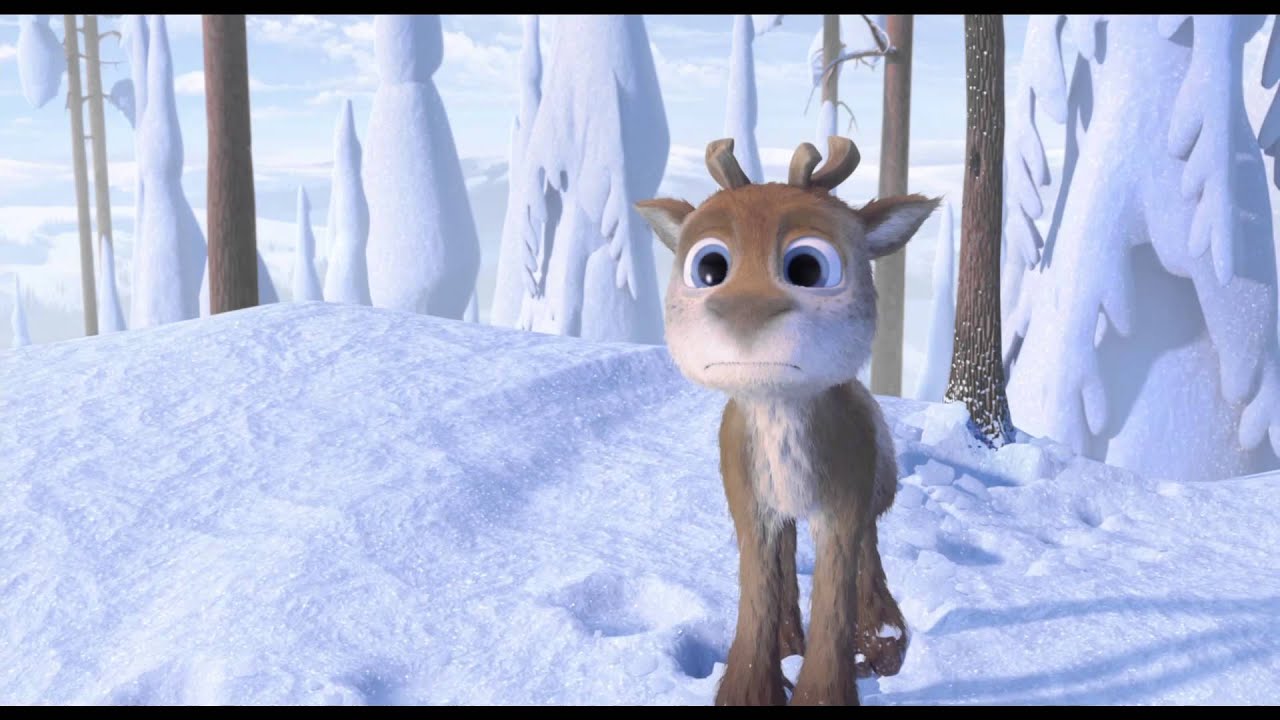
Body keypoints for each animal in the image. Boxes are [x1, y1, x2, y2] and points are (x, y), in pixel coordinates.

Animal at [634, 137, 939, 706]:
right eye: (710, 267)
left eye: (808, 268)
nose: (743, 315)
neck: (779, 418)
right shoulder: (751, 507)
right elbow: (759, 591)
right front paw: (755, 684)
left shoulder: (843, 509)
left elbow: (837, 595)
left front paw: (834, 680)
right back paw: (790, 644)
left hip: (873, 493)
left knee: (869, 550)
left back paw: (882, 640)